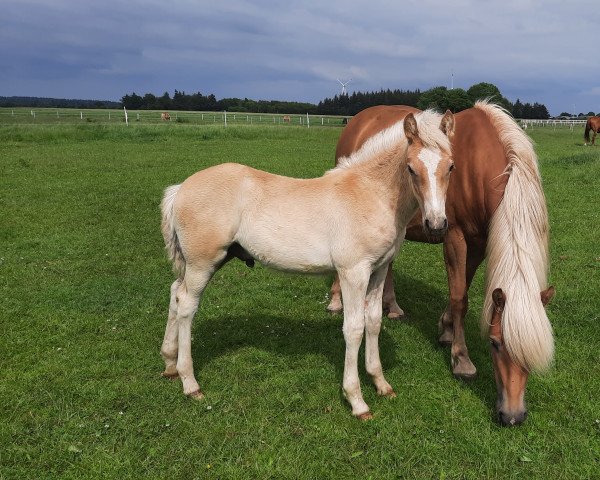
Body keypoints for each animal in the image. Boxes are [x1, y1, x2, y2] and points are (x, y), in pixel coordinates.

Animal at [159, 110, 454, 418]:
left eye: (451, 167)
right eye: (411, 168)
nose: (436, 225)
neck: (371, 194)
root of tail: (179, 189)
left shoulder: (380, 269)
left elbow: (373, 322)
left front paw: (381, 383)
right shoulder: (353, 272)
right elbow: (354, 329)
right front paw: (357, 400)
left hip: (202, 262)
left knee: (175, 293)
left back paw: (169, 364)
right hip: (202, 263)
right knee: (187, 305)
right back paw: (190, 382)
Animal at [326, 101, 556, 424]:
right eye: (495, 343)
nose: (513, 416)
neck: (480, 162)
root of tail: (359, 119)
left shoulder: (479, 242)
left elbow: (462, 291)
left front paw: (446, 330)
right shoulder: (455, 237)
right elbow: (460, 298)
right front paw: (461, 359)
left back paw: (392, 306)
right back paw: (336, 300)